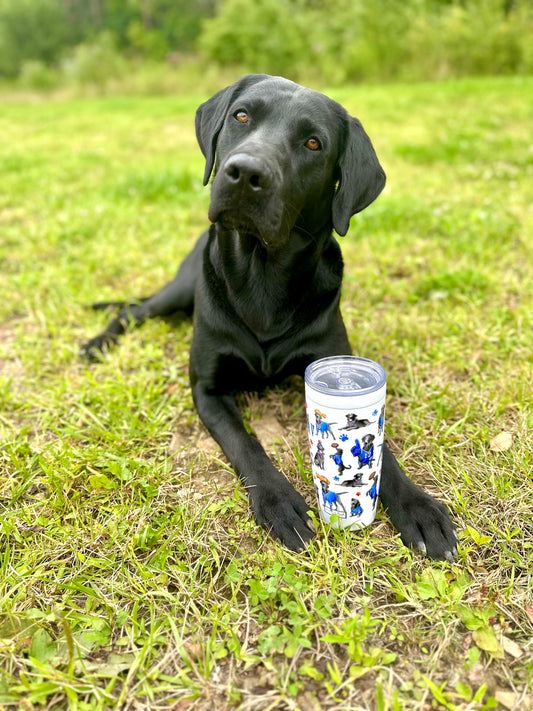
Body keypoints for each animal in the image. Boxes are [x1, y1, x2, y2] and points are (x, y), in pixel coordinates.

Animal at [83, 72, 458, 560]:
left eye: (314, 143)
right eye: (242, 115)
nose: (246, 173)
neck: (262, 276)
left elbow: (384, 449)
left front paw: (418, 506)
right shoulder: (208, 389)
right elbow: (247, 443)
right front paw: (279, 501)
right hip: (179, 291)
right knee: (131, 310)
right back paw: (98, 343)